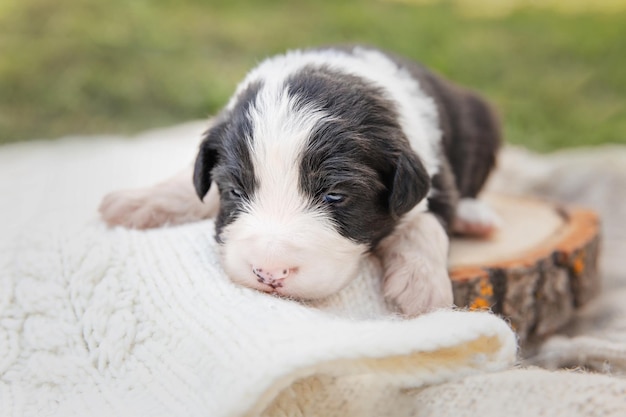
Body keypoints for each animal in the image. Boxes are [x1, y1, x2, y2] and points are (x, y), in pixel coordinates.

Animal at [100, 45, 500, 316]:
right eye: (234, 191)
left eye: (334, 197)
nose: (269, 273)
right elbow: (188, 180)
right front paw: (135, 202)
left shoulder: (435, 173)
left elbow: (426, 222)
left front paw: (422, 287)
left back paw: (475, 218)